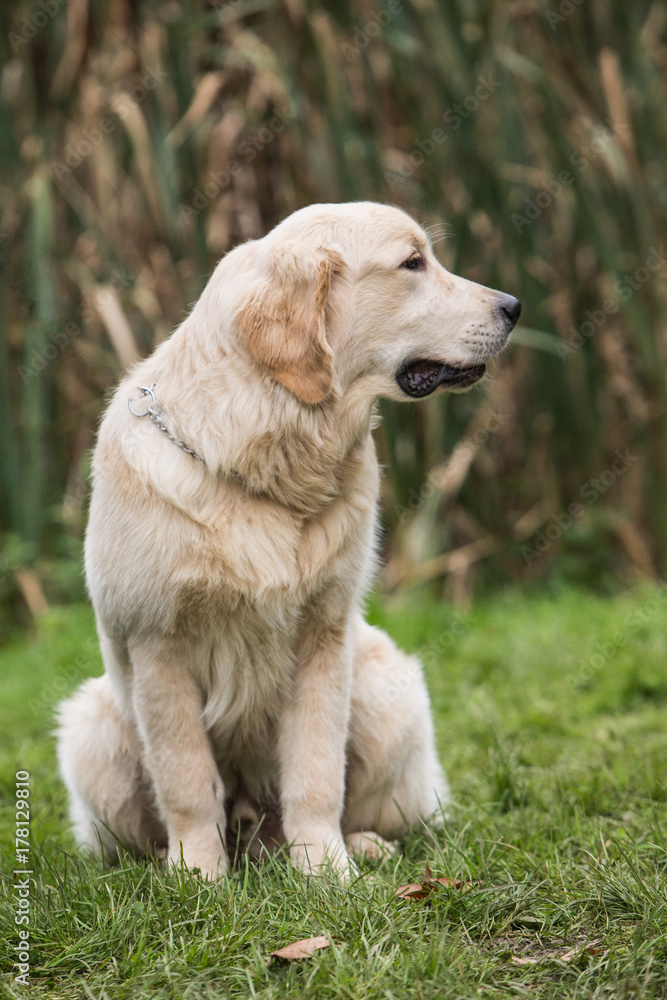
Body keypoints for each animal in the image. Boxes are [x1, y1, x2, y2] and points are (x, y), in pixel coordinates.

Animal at [56, 201, 520, 876]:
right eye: (412, 264)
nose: (515, 306)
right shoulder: (158, 649)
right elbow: (187, 780)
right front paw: (198, 876)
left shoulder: (322, 635)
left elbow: (317, 770)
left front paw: (325, 869)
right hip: (92, 731)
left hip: (390, 693)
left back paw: (360, 846)